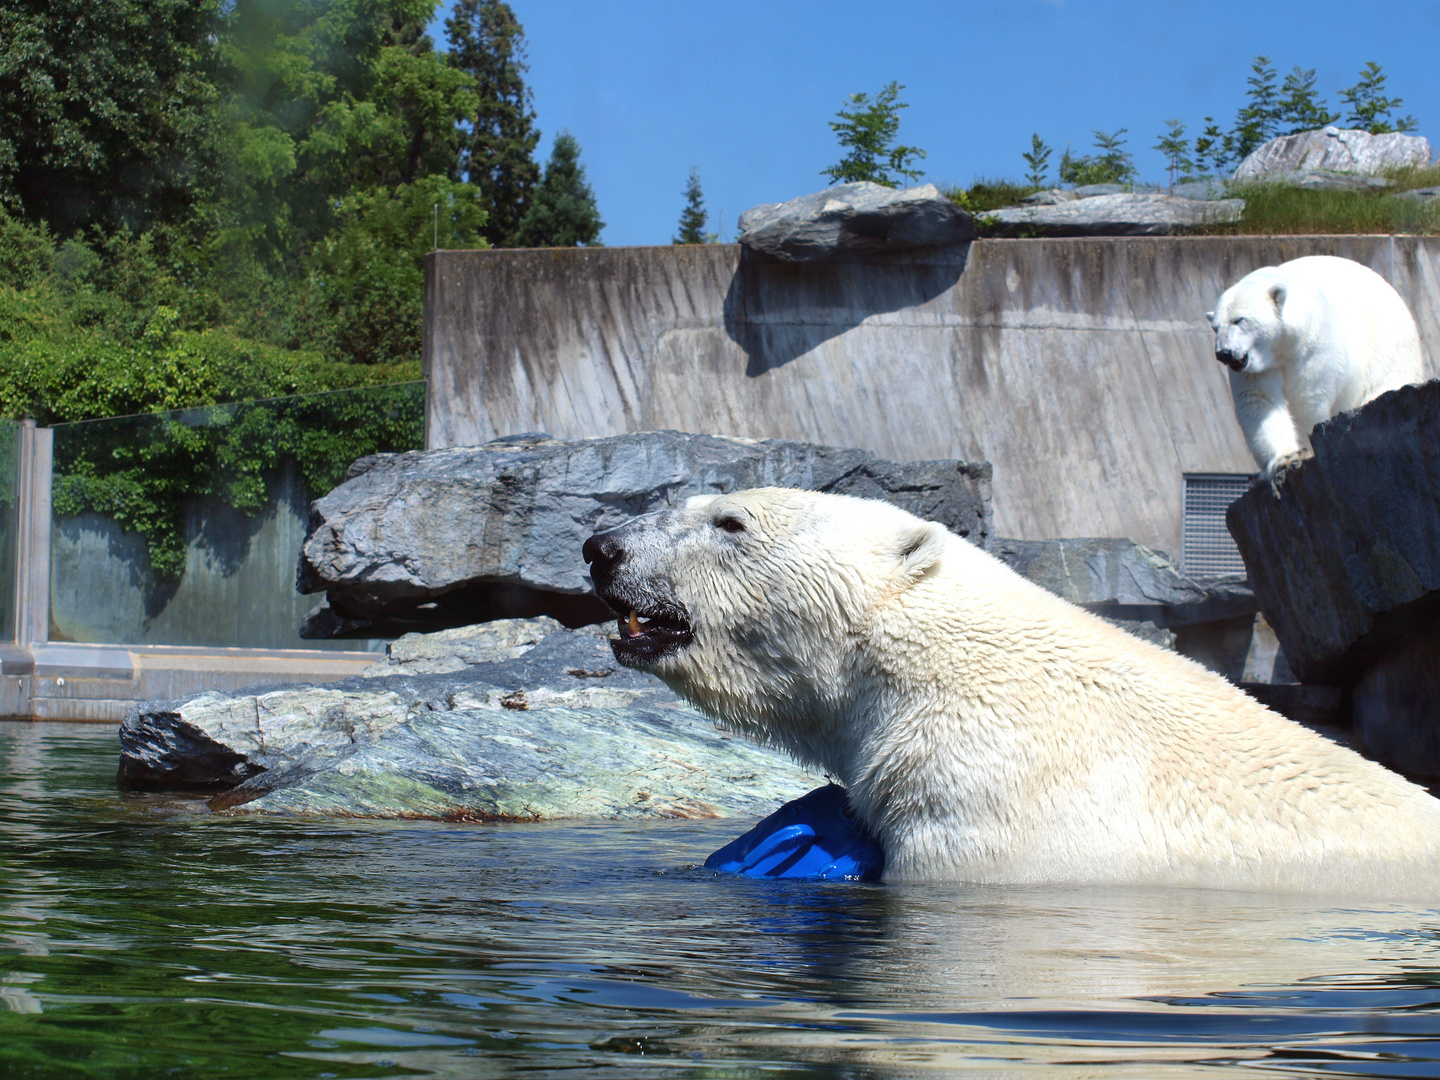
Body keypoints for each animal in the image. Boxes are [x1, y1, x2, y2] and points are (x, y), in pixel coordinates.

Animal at [1209, 256, 1422, 480]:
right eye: (1215, 327)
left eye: (1239, 320)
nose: (1224, 353)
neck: (1282, 348)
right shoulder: (1258, 368)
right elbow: (1259, 400)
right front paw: (1286, 457)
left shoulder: (1312, 349)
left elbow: (1306, 401)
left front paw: (1306, 452)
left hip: (1387, 345)